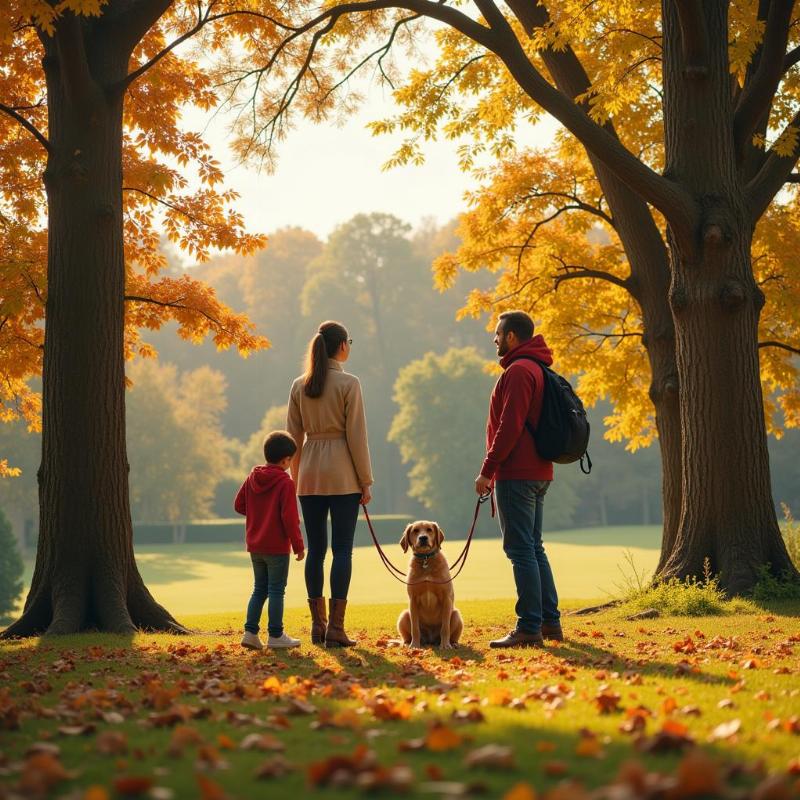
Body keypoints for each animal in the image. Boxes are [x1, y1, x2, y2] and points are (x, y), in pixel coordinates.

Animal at [396, 520, 462, 648]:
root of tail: (430, 641)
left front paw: (445, 645)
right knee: (408, 635)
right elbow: (415, 628)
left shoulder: (446, 598)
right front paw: (415, 645)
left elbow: (445, 627)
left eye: (429, 530)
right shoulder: (413, 600)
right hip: (404, 615)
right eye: (415, 530)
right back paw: (408, 643)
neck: (425, 559)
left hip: (456, 615)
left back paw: (452, 643)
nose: (423, 538)